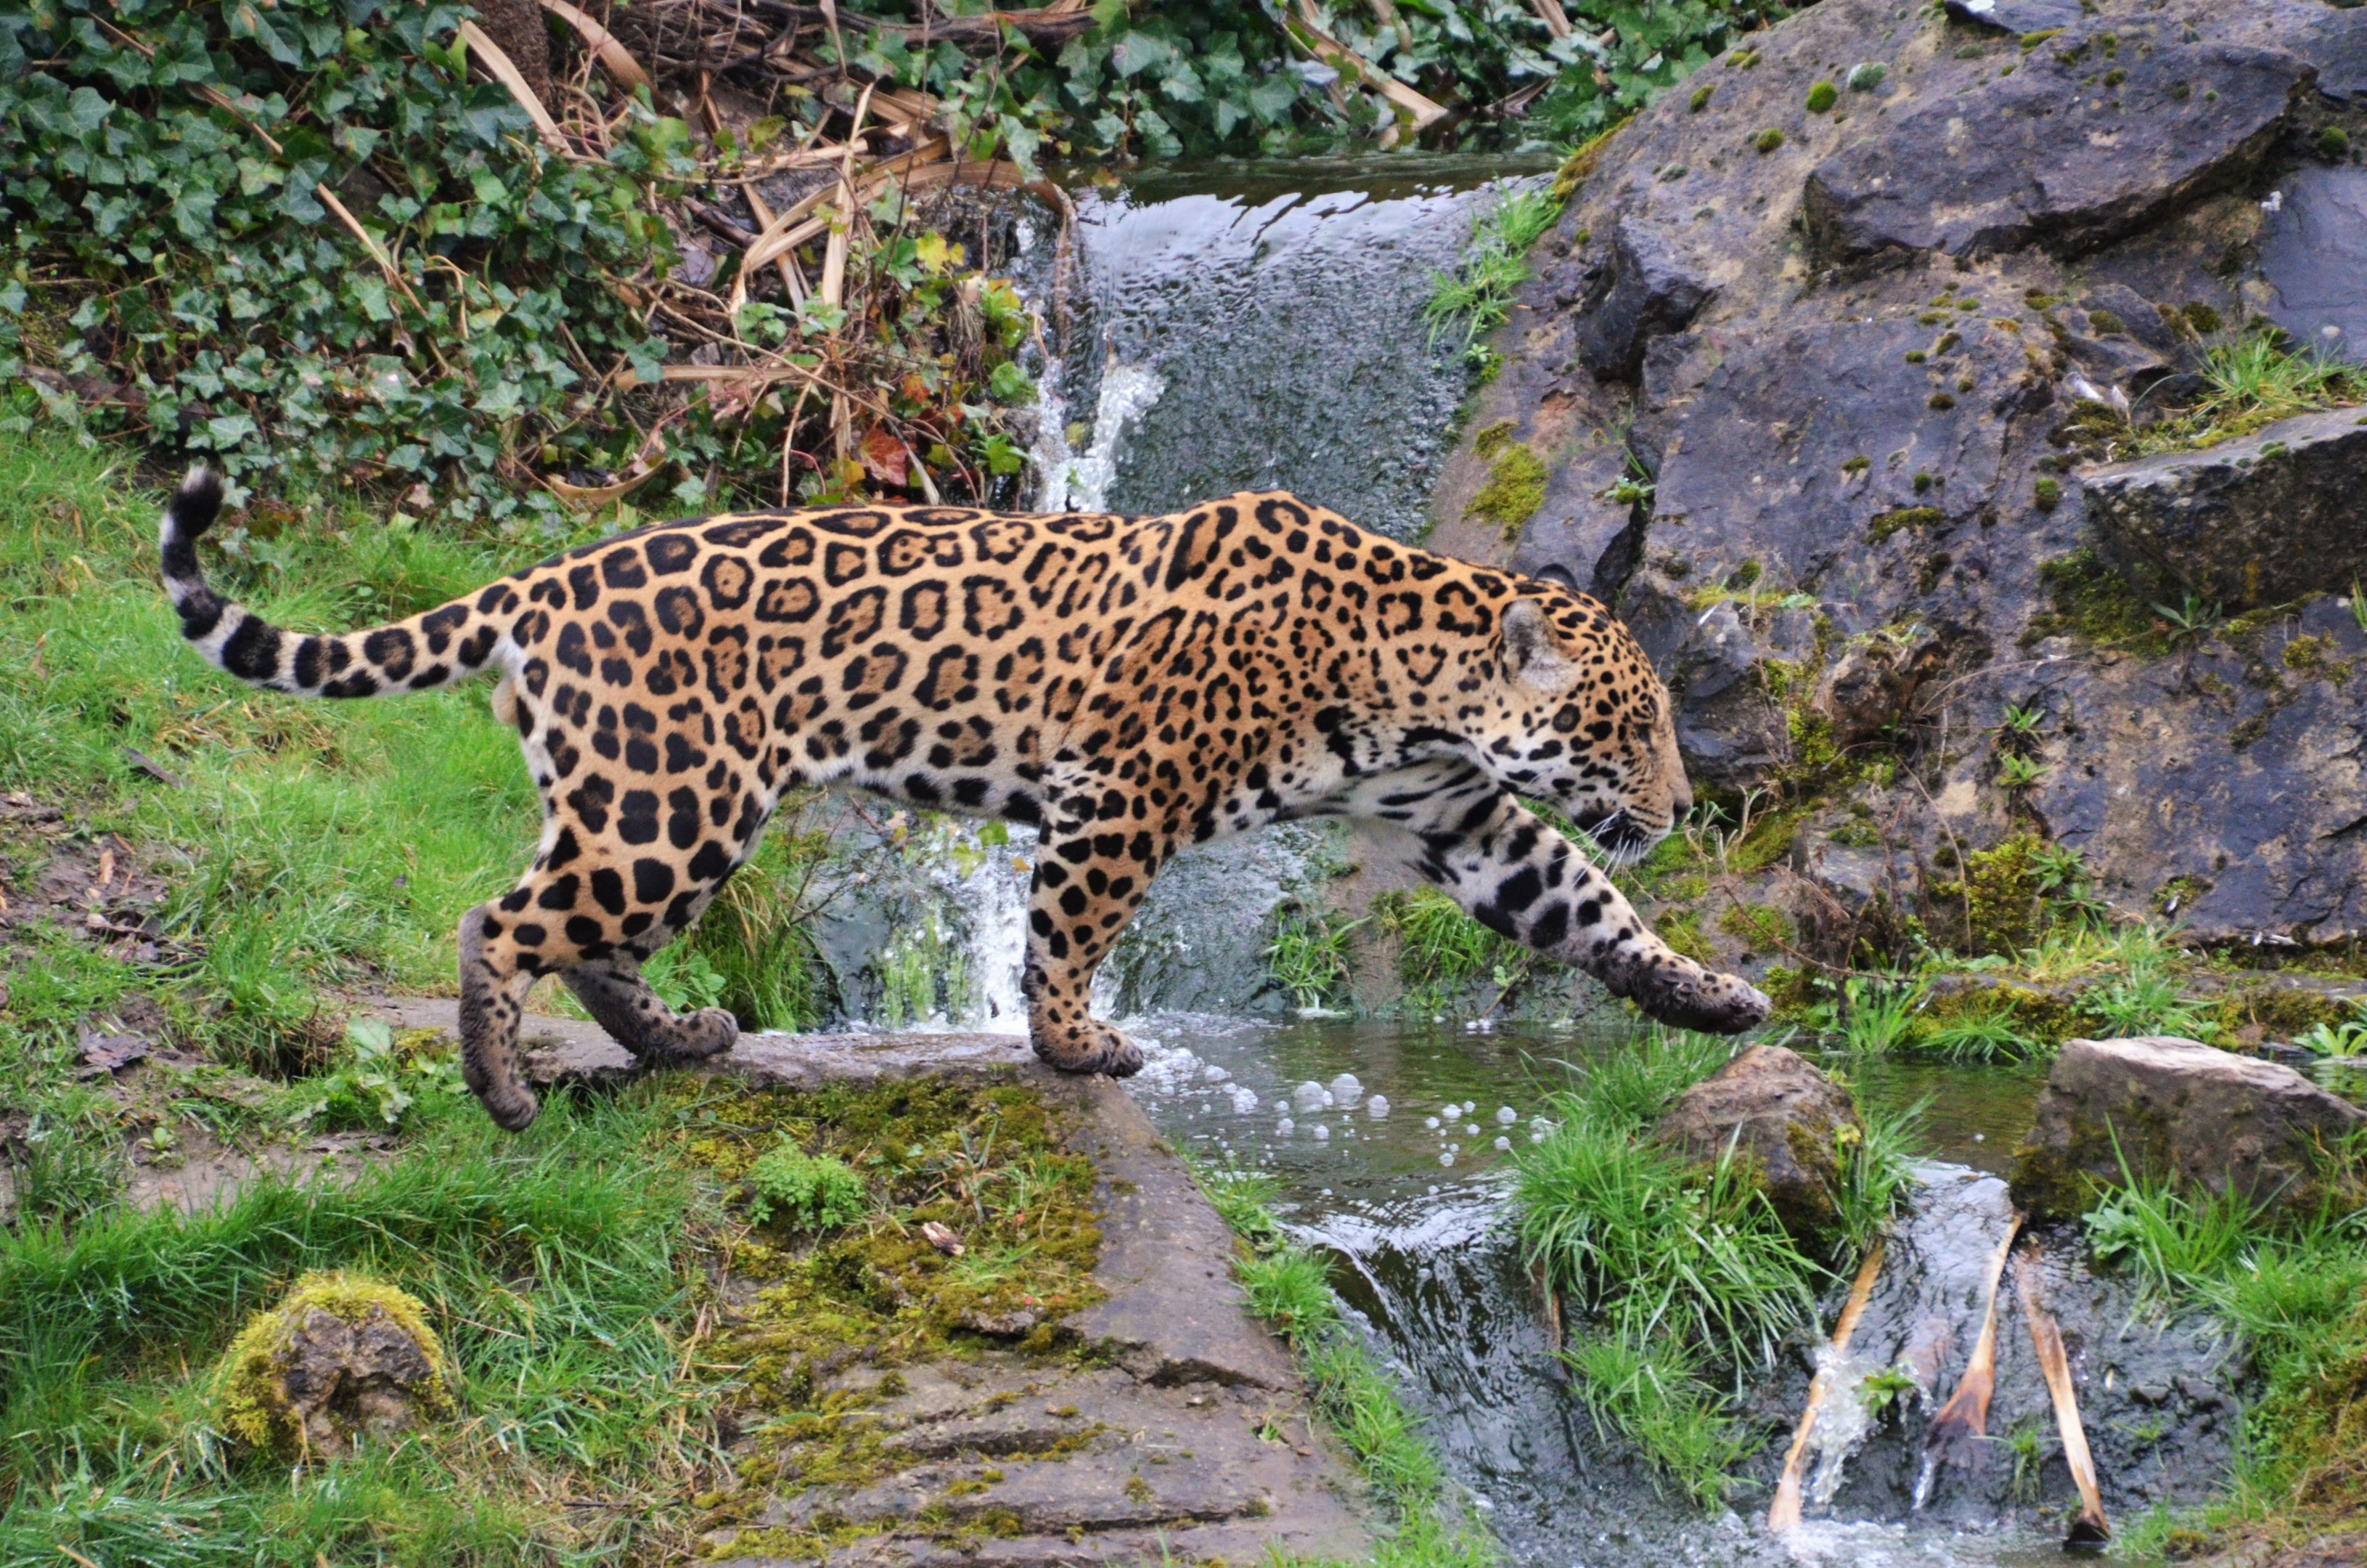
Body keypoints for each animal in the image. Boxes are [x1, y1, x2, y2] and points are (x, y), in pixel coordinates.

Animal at [159, 467, 1770, 1130]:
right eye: (1630, 728)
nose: (1683, 808)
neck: (1410, 674)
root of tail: (540, 581)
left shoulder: (1452, 815)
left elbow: (1583, 904)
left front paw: (1710, 998)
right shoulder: (1120, 792)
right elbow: (1065, 932)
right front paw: (1071, 1048)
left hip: (651, 813)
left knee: (584, 936)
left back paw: (680, 1039)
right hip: (673, 809)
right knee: (497, 922)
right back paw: (499, 1088)